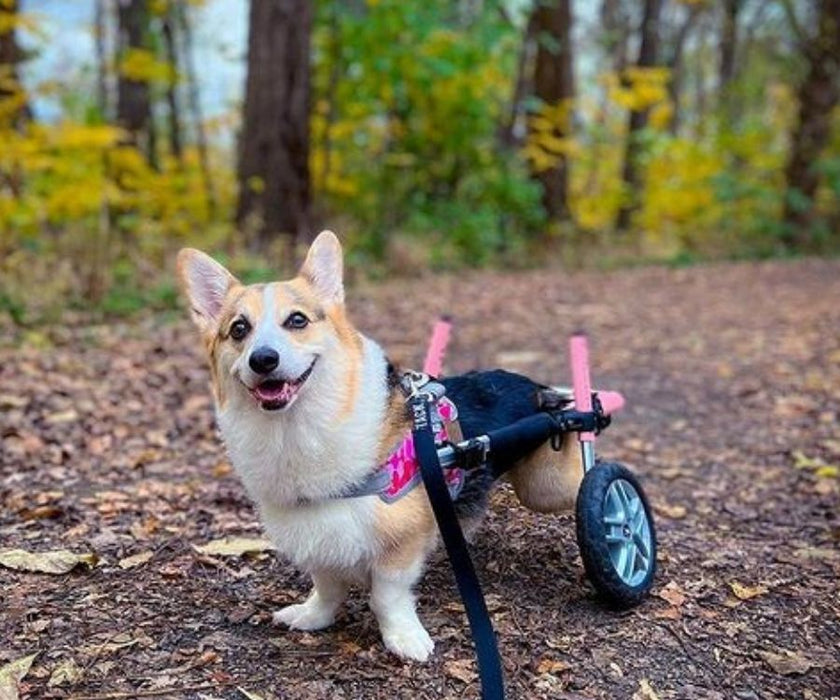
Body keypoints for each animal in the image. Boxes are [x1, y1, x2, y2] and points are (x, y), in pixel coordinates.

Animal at [177, 231, 584, 660]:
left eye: (297, 320)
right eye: (239, 329)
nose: (263, 359)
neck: (295, 429)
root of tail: (539, 389)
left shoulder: (400, 546)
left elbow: (386, 597)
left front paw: (404, 639)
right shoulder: (317, 537)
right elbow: (326, 587)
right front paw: (313, 617)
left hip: (546, 487)